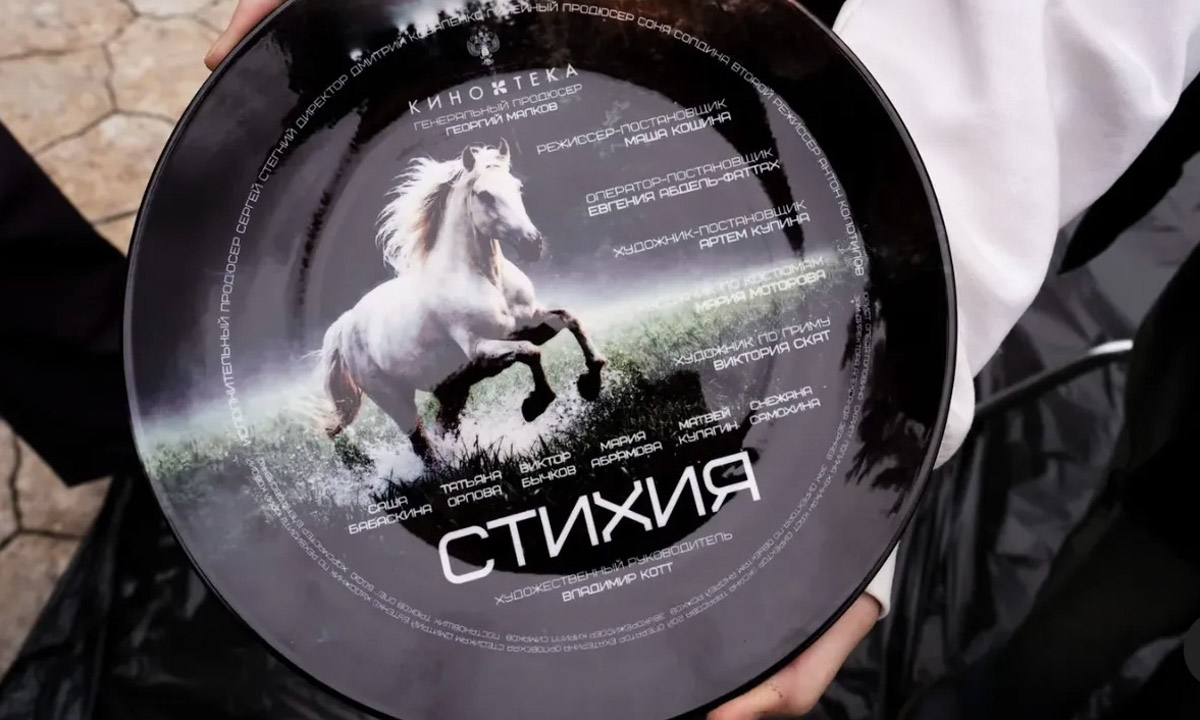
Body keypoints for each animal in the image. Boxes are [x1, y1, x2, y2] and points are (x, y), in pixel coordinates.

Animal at [317, 140, 606, 462]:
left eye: (517, 187)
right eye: (485, 194)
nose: (532, 244)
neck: (488, 280)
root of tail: (345, 325)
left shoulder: (528, 325)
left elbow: (570, 318)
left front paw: (591, 382)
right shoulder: (481, 348)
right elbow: (531, 352)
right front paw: (536, 404)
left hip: (452, 389)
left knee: (445, 430)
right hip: (394, 400)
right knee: (423, 446)